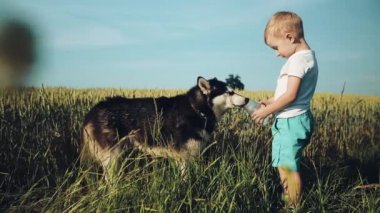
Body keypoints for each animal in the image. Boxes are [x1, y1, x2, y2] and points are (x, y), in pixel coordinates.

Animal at [81, 76, 249, 175]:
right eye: (230, 92)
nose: (247, 99)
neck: (196, 109)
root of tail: (93, 109)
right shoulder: (184, 158)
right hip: (111, 156)